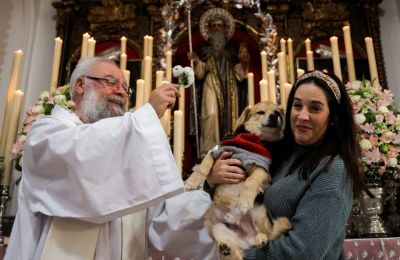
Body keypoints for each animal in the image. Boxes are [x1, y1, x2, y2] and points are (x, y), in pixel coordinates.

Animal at [184, 100, 290, 258]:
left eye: (278, 112)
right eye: (260, 112)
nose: (274, 116)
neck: (253, 139)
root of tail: (248, 240)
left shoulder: (262, 168)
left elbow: (250, 181)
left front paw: (245, 201)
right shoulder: (218, 151)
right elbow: (203, 167)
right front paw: (191, 182)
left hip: (259, 215)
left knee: (267, 233)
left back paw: (261, 238)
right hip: (219, 229)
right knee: (235, 253)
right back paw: (225, 247)